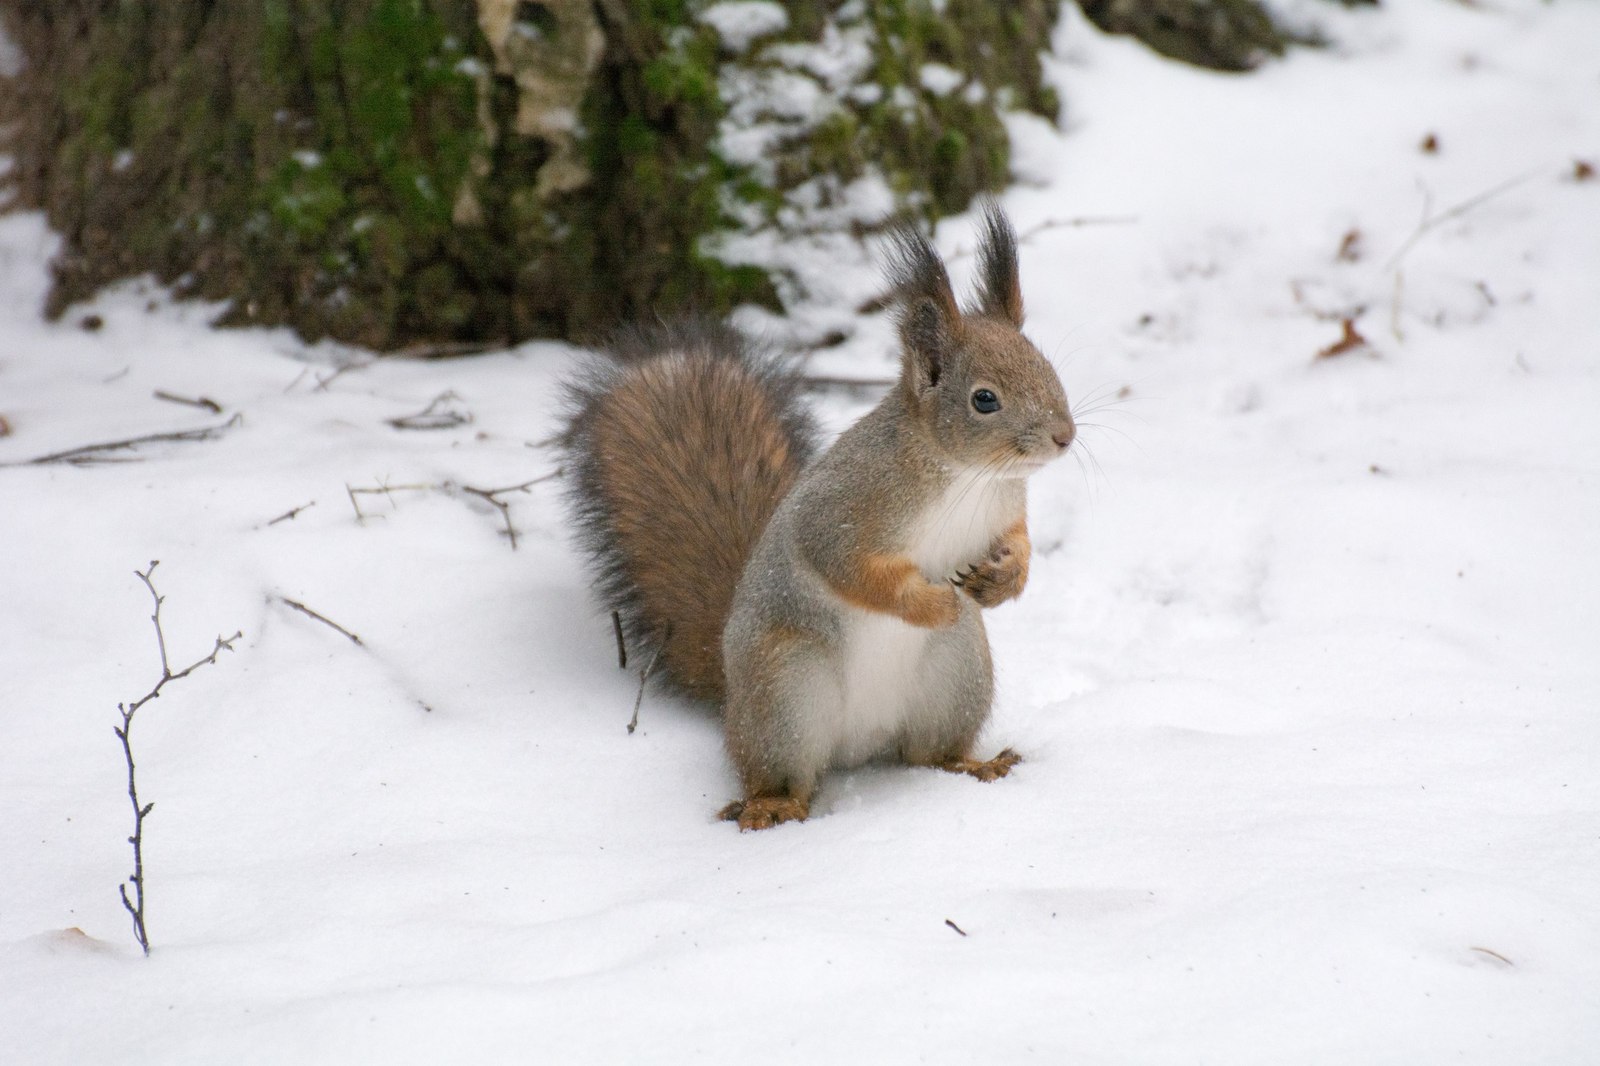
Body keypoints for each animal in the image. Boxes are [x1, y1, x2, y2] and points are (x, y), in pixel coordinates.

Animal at [563, 203, 1075, 825]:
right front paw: (932, 603)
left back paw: (973, 765)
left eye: (1047, 368)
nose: (1065, 436)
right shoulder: (842, 513)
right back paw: (771, 806)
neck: (964, 476)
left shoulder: (1003, 510)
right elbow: (853, 570)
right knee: (784, 775)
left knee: (926, 754)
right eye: (984, 399)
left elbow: (1019, 542)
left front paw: (1003, 580)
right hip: (787, 689)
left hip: (957, 674)